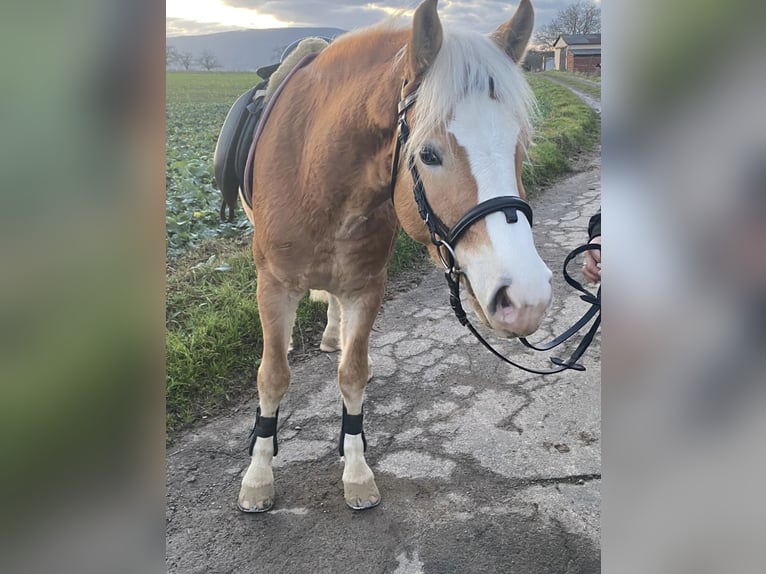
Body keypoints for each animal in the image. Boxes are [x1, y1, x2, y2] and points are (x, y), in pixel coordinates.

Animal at [236, 0, 552, 512]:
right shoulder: (273, 285)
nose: (526, 298)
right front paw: (259, 476)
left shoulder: (367, 286)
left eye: (519, 146)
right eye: (429, 154)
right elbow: (273, 376)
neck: (316, 172)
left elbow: (353, 373)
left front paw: (356, 470)